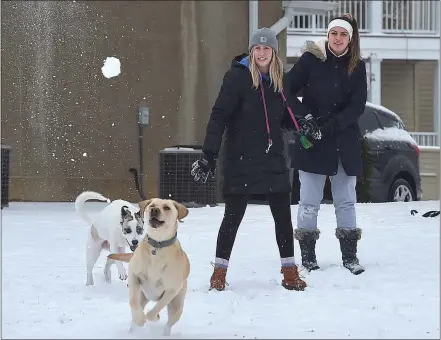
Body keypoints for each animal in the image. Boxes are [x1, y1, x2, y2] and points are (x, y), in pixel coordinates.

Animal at [108, 198, 189, 336]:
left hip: (177, 305)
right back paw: (132, 331)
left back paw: (164, 333)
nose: (154, 210)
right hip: (143, 296)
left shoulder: (171, 290)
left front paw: (152, 317)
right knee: (137, 307)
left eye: (167, 207)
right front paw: (140, 319)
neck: (157, 245)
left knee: (169, 323)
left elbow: (155, 310)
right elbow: (133, 303)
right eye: (152, 205)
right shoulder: (134, 276)